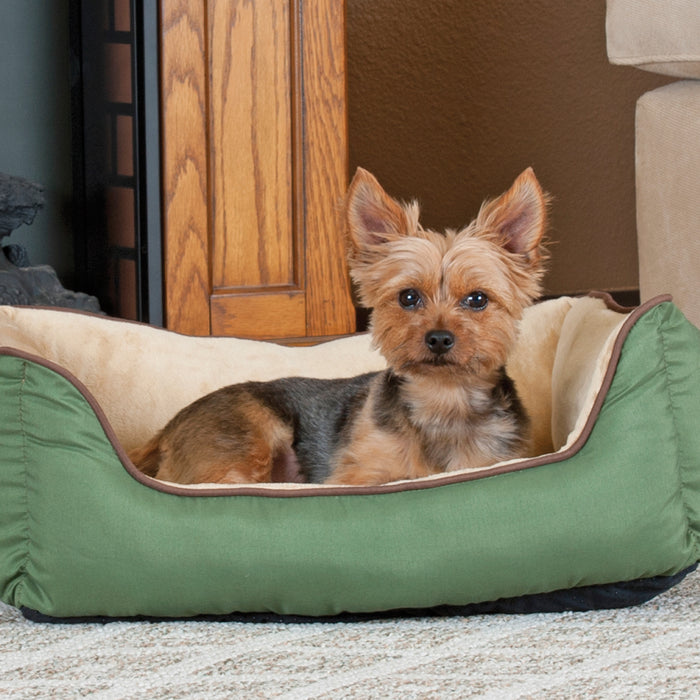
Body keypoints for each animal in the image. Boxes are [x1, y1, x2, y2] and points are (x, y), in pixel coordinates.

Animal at [130, 168, 548, 486]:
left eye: (477, 299)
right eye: (408, 297)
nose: (439, 339)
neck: (443, 401)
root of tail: (167, 428)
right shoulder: (356, 476)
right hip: (246, 444)